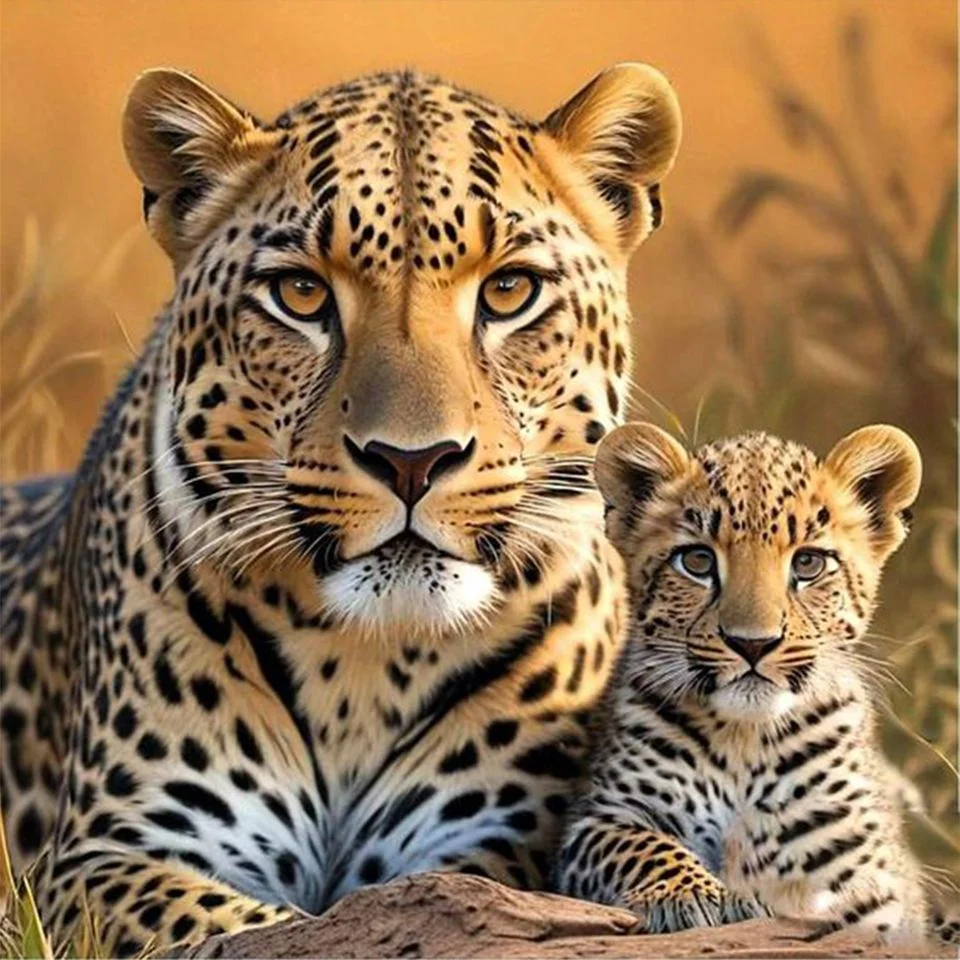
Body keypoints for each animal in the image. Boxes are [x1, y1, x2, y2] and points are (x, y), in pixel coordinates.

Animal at [0, 64, 681, 955]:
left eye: (509, 291)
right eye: (299, 293)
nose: (412, 461)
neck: (364, 665)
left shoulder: (485, 842)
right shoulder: (107, 855)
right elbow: (248, 928)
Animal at [555, 421, 956, 946]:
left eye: (808, 564)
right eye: (697, 561)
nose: (752, 644)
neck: (744, 741)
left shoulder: (861, 860)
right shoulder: (599, 816)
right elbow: (637, 844)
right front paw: (692, 895)